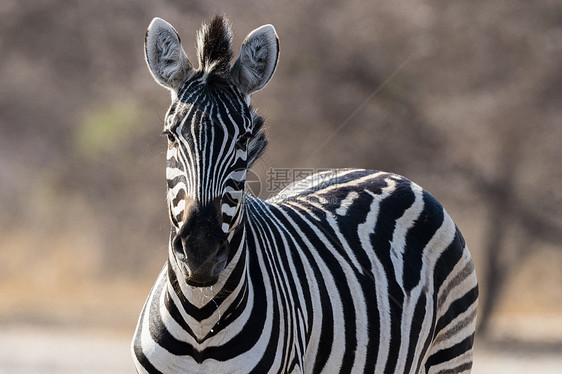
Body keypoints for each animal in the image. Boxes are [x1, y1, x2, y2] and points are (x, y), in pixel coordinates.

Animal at [131, 15, 476, 374]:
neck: (201, 317)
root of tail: (390, 175)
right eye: (171, 135)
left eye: (244, 138)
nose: (200, 251)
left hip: (451, 351)